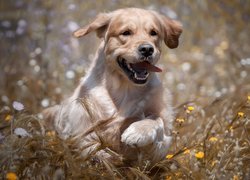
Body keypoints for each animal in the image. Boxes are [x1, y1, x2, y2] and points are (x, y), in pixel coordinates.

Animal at [43, 7, 182, 164]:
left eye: (153, 32)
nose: (147, 49)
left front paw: (137, 132)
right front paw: (105, 157)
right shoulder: (81, 130)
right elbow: (90, 146)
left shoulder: (160, 146)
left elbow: (156, 120)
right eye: (126, 32)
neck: (125, 89)